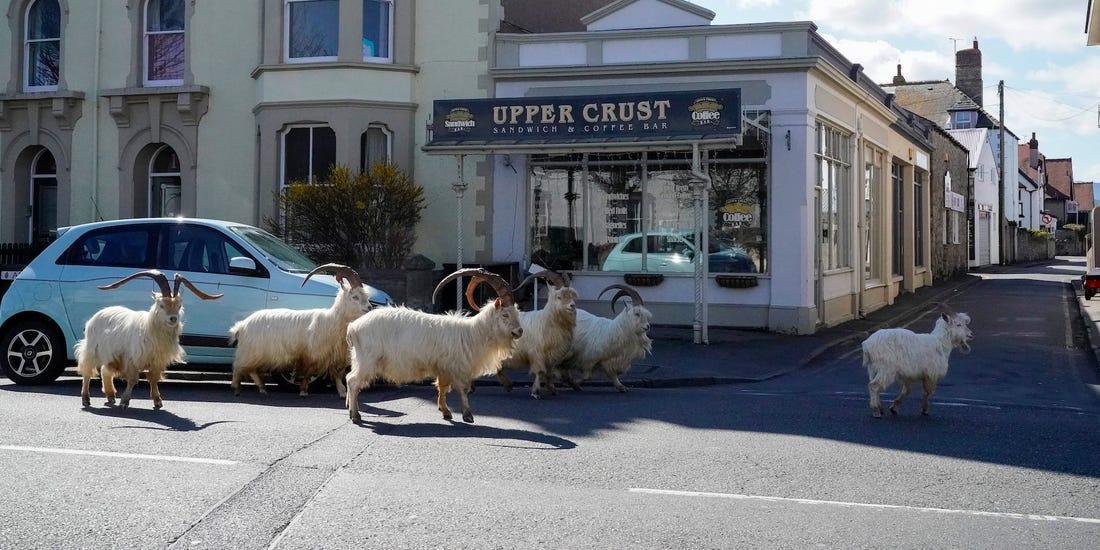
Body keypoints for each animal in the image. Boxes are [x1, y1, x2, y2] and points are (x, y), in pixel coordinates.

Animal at [76, 270, 222, 409]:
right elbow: (133, 379)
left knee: (104, 370)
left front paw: (158, 401)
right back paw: (86, 399)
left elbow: (153, 379)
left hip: (111, 356)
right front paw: (124, 402)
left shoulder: (157, 361)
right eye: (162, 305)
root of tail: (99, 314)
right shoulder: (132, 358)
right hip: (92, 349)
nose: (173, 319)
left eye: (179, 306)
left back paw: (111, 396)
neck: (149, 329)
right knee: (87, 371)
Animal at [229, 264, 371, 398]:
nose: (369, 307)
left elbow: (337, 373)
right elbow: (309, 372)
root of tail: (242, 325)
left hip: (254, 353)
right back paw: (236, 388)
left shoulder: (334, 354)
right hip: (249, 351)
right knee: (238, 366)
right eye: (355, 297)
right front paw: (303, 391)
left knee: (251, 369)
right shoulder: (312, 354)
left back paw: (262, 388)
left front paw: (342, 392)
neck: (333, 320)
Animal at [349, 268, 525, 422]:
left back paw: (352, 413)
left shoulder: (443, 367)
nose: (519, 331)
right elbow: (462, 389)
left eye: (517, 313)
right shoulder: (457, 367)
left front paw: (445, 411)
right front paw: (467, 415)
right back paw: (356, 416)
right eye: (505, 314)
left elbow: (442, 387)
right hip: (367, 360)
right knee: (352, 381)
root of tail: (353, 327)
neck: (473, 333)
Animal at [497, 270, 580, 400]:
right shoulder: (537, 353)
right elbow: (540, 372)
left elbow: (549, 373)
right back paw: (507, 385)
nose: (572, 305)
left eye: (571, 296)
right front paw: (535, 392)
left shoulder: (553, 356)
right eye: (559, 297)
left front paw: (552, 389)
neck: (548, 321)